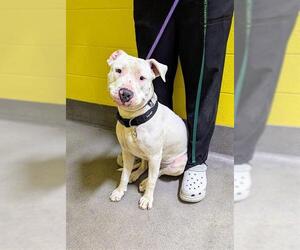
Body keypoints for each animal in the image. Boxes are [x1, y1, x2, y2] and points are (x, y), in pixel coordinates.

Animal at [108, 49, 188, 209]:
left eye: (142, 78)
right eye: (118, 70)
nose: (125, 93)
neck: (133, 120)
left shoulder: (155, 156)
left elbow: (152, 180)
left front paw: (147, 198)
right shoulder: (127, 152)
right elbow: (124, 174)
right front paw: (120, 190)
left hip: (176, 166)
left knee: (159, 172)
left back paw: (144, 183)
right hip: (144, 155)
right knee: (144, 167)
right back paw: (135, 175)